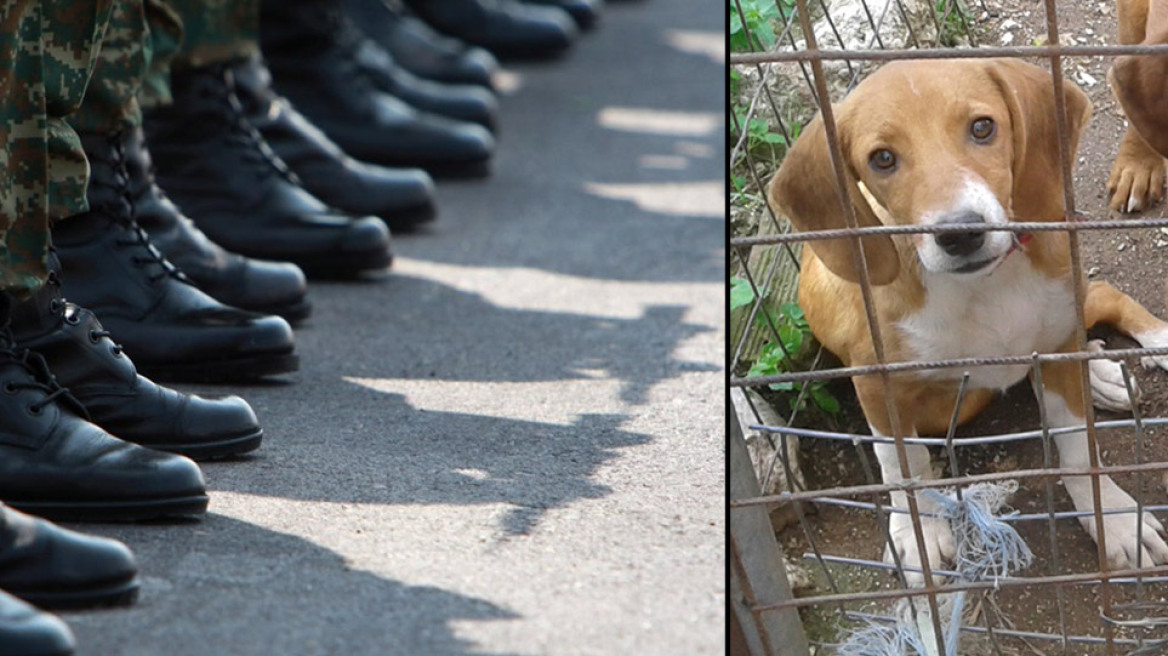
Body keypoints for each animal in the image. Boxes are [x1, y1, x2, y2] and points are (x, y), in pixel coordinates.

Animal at [770, 58, 1168, 578]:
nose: (960, 233)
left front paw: (1114, 518)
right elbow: (903, 466)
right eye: (882, 158)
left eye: (982, 127)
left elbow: (1079, 448)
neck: (985, 287)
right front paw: (918, 532)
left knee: (1095, 298)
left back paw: (1131, 354)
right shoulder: (878, 385)